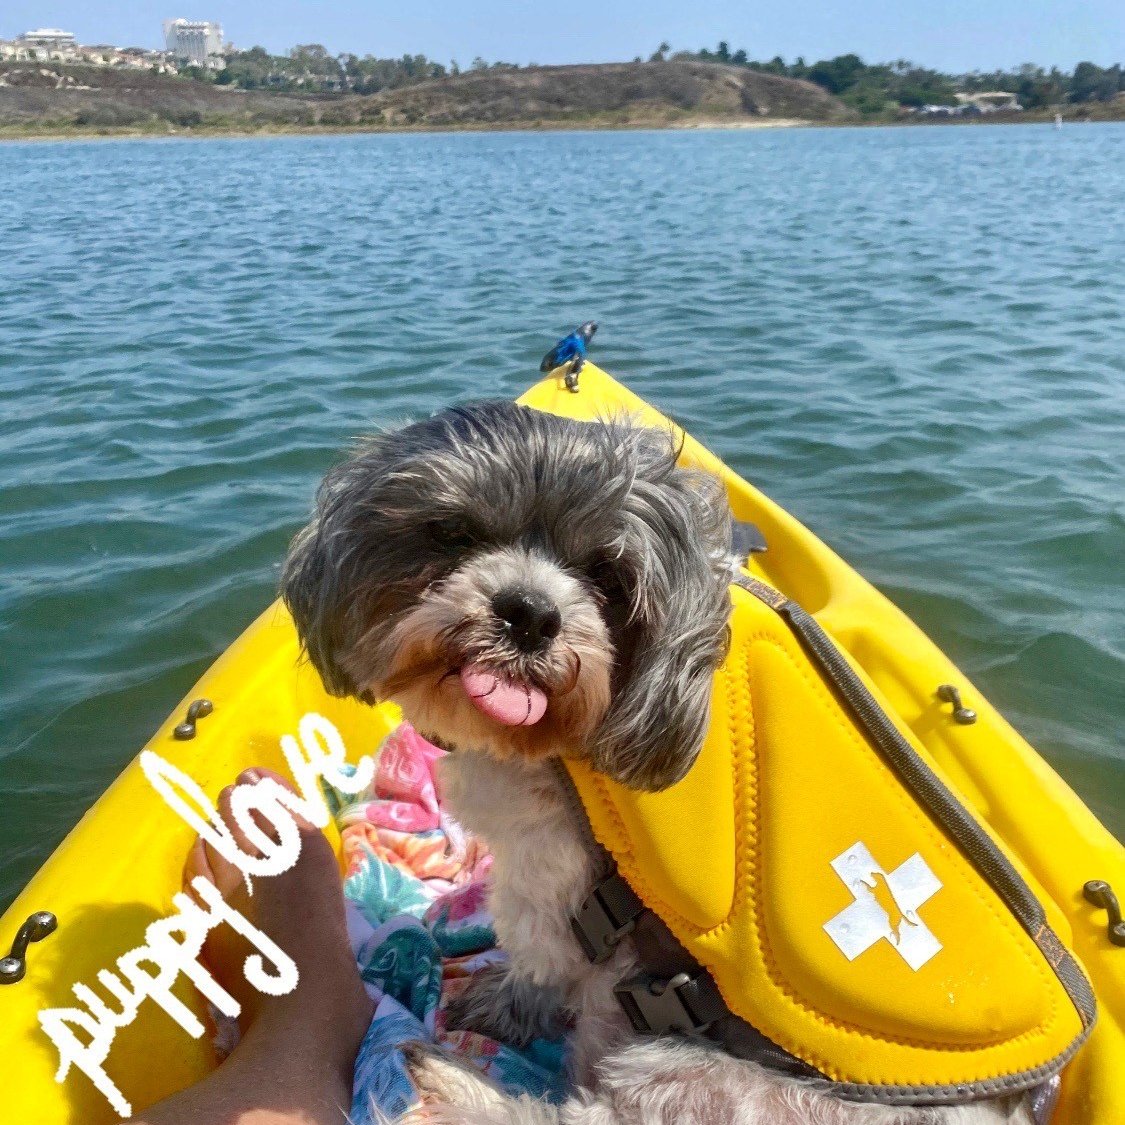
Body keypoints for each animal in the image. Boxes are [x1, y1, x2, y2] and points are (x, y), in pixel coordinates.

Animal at [283, 402, 1035, 1125]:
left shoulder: (547, 870)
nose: (529, 612)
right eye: (455, 534)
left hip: (687, 1074)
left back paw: (455, 1085)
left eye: (606, 575)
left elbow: (535, 949)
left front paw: (505, 1005)